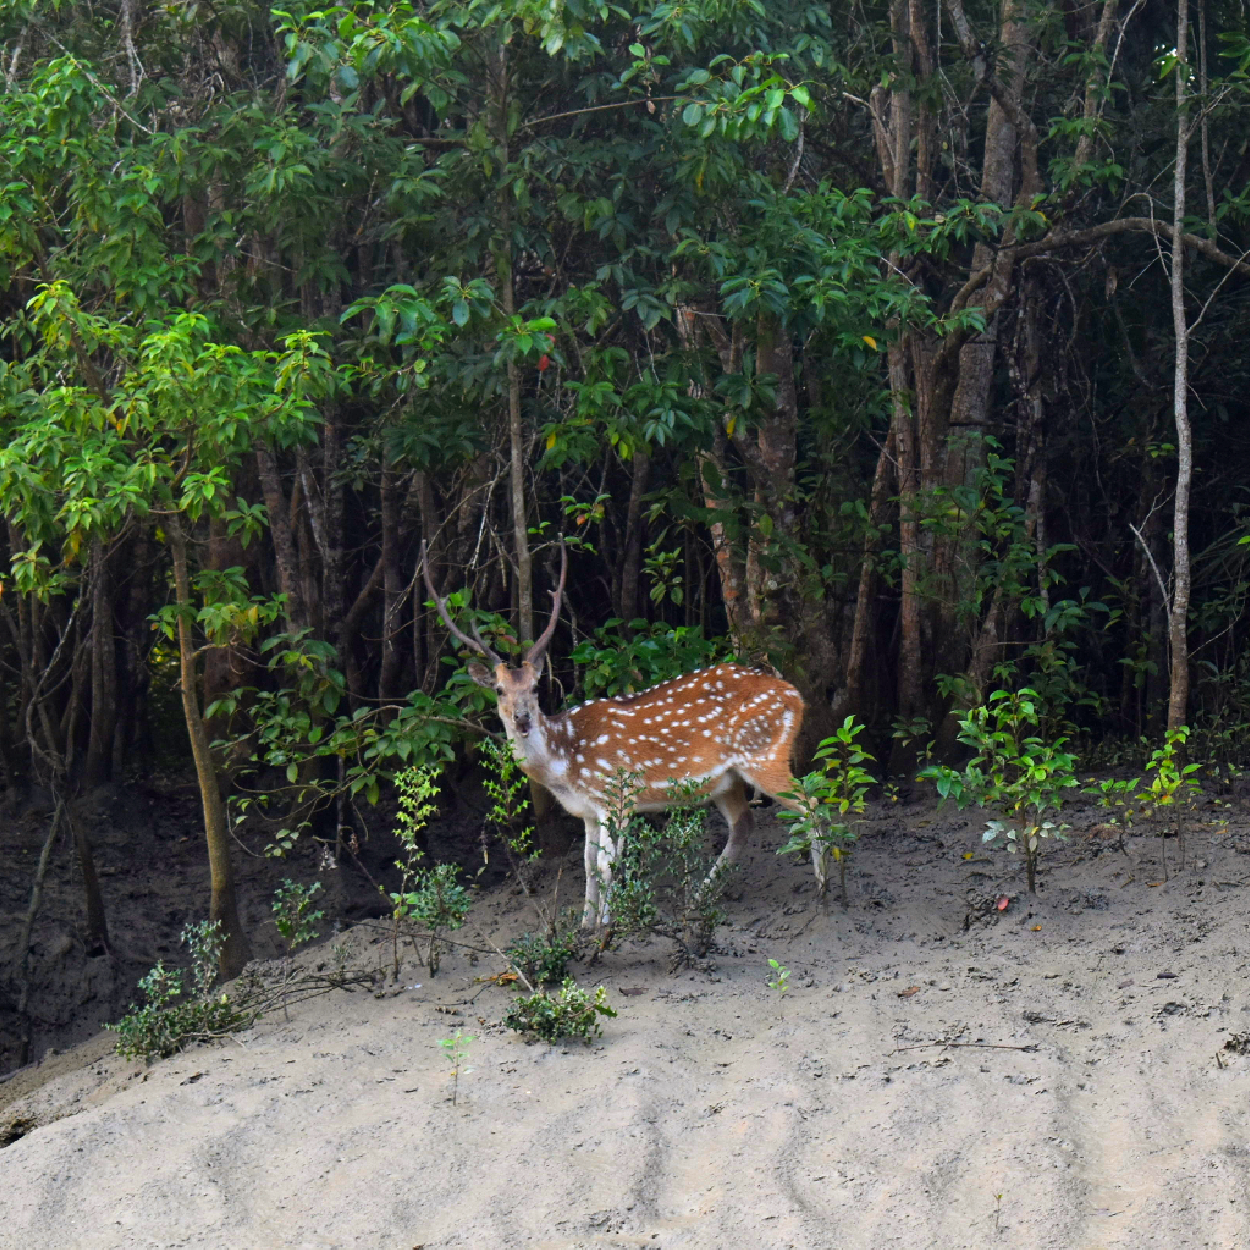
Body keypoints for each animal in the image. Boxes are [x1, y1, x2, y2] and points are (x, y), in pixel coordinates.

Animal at [422, 544, 819, 927]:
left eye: (535, 687)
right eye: (499, 690)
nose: (522, 718)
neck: (565, 763)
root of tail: (796, 696)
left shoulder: (617, 795)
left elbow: (607, 865)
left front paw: (606, 924)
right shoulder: (587, 810)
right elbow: (587, 865)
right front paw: (584, 925)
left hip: (763, 753)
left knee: (811, 802)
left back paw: (823, 887)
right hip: (728, 779)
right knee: (744, 824)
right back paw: (697, 901)